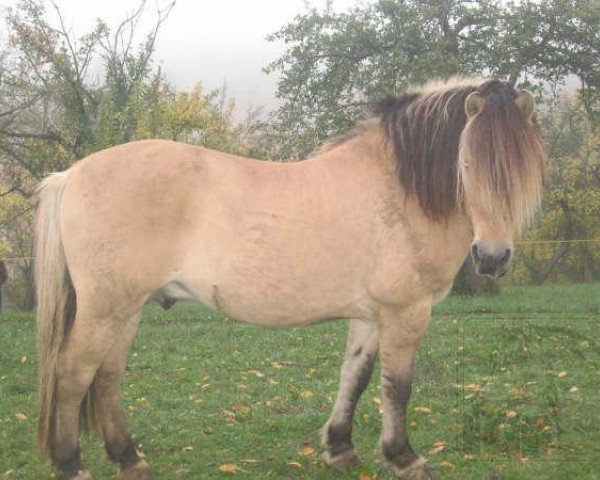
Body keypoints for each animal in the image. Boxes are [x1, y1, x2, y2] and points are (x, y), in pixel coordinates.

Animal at [35, 77, 548, 478]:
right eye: (467, 165)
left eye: (524, 169)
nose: (492, 258)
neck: (399, 190)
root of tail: (71, 174)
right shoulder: (405, 313)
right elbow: (397, 386)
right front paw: (404, 456)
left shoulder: (371, 314)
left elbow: (355, 376)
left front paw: (339, 448)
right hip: (106, 309)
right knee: (74, 372)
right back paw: (71, 464)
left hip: (126, 309)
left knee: (107, 377)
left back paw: (129, 458)